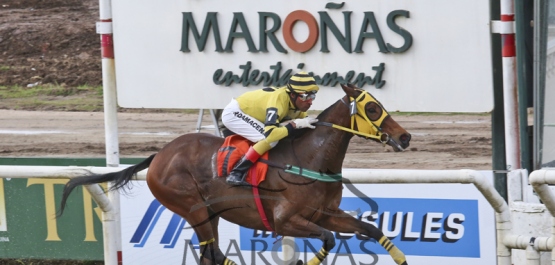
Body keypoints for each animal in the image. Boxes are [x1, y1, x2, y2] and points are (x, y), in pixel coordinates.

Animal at [58, 84, 410, 264]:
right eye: (373, 109)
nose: (405, 137)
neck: (311, 159)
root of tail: (160, 154)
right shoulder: (285, 220)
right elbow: (328, 239)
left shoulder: (325, 213)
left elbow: (370, 229)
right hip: (192, 208)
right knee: (213, 254)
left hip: (209, 213)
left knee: (208, 255)